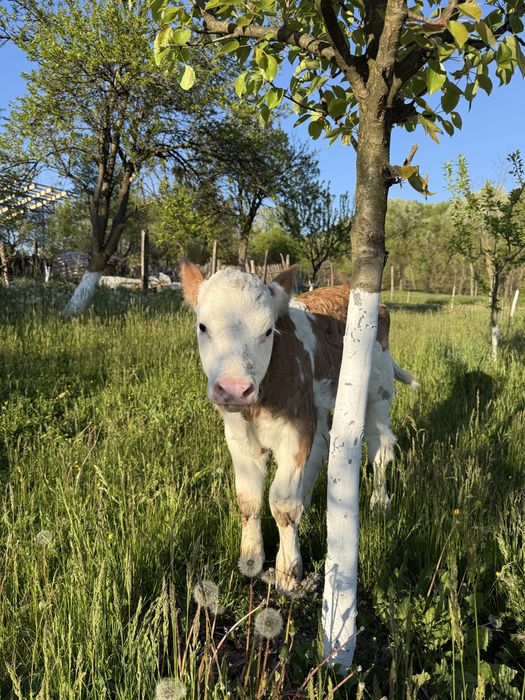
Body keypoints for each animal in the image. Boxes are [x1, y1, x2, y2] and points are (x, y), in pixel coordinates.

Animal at [180, 262, 419, 593]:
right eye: (203, 327)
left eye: (268, 330)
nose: (234, 388)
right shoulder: (238, 436)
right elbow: (249, 500)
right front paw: (251, 560)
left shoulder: (294, 431)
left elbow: (282, 504)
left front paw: (288, 572)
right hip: (317, 405)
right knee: (320, 448)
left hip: (378, 389)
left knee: (379, 446)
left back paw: (379, 503)